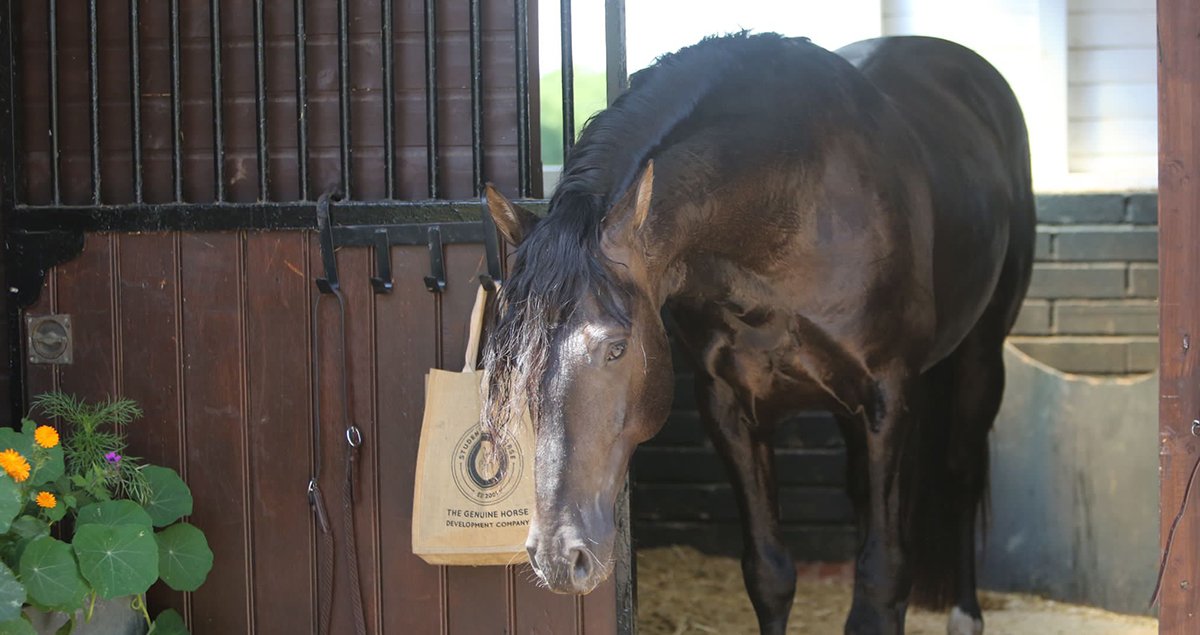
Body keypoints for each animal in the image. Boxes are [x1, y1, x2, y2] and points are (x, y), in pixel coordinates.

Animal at [481, 32, 1034, 635]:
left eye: (616, 348)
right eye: (510, 360)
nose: (560, 558)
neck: (793, 207)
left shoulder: (887, 397)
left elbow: (883, 578)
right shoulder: (729, 408)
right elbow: (770, 574)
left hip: (980, 358)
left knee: (961, 473)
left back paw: (966, 613)